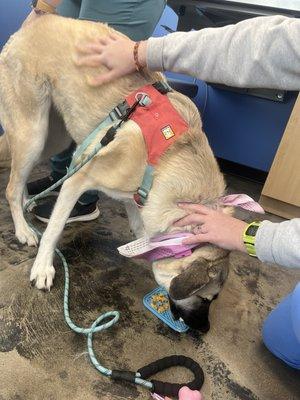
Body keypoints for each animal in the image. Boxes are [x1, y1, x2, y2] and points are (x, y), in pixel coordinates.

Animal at [0, 15, 230, 332]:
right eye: (207, 298)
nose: (205, 330)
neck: (169, 160)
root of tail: (35, 23)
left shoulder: (137, 197)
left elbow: (140, 228)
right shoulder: (78, 177)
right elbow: (55, 229)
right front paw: (43, 267)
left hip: (52, 139)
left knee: (18, 178)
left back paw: (25, 208)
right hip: (33, 133)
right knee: (11, 185)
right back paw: (23, 230)